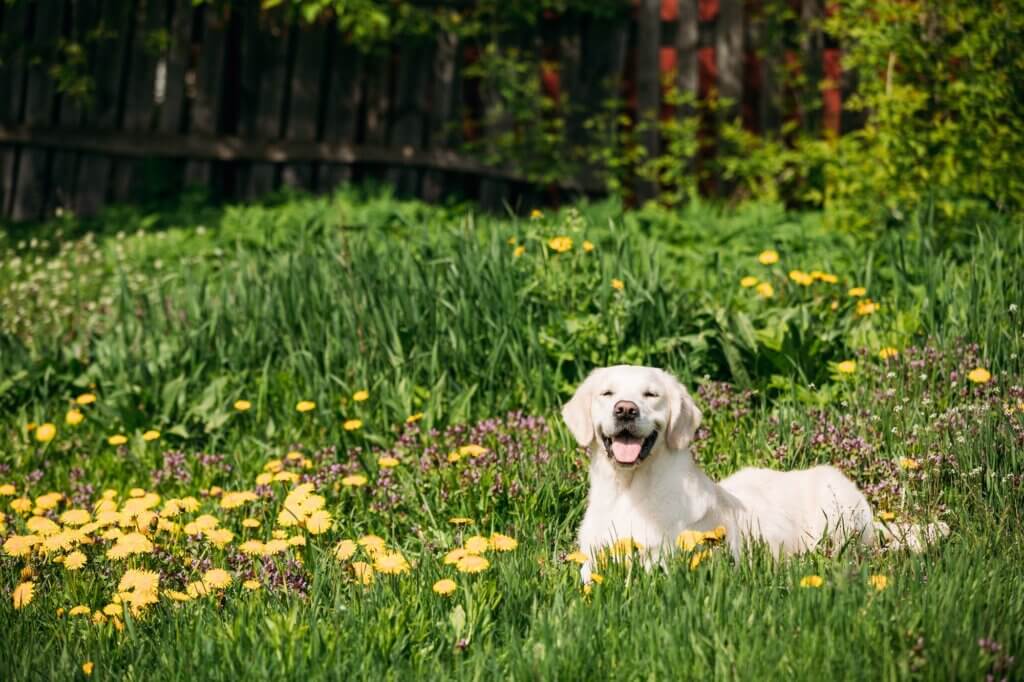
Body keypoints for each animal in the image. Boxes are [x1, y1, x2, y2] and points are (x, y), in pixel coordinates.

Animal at [561, 364, 942, 581]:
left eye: (651, 394)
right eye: (607, 393)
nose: (625, 410)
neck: (630, 490)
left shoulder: (672, 558)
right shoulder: (592, 556)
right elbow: (586, 575)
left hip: (837, 516)